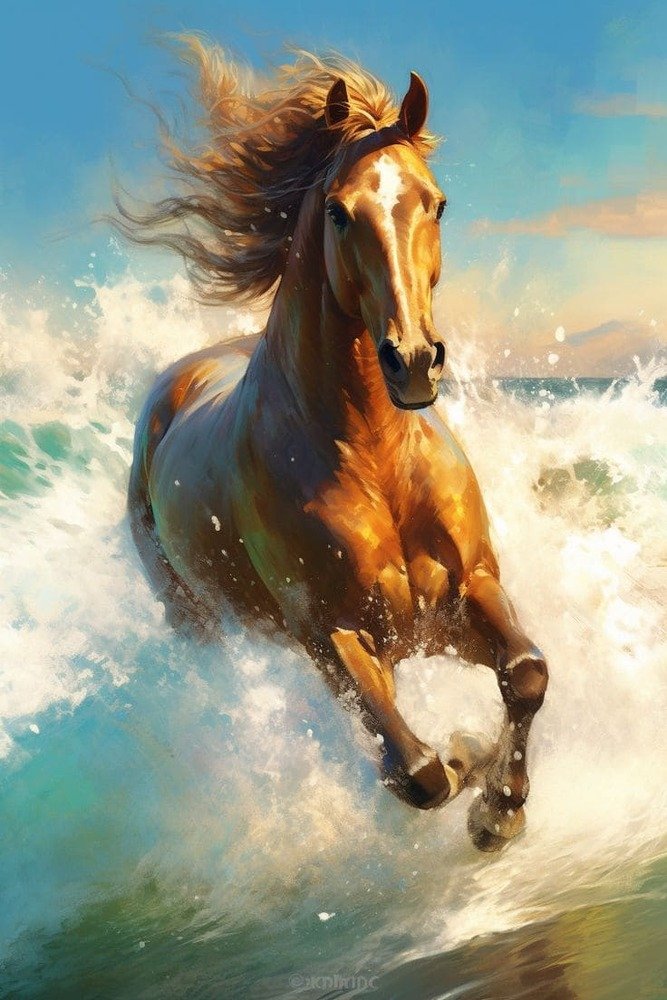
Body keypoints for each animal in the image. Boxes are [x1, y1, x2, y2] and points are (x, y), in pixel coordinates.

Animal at [123, 42, 548, 851]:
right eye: (337, 212)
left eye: (436, 202)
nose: (412, 361)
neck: (375, 455)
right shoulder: (333, 632)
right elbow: (418, 772)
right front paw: (470, 770)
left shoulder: (468, 588)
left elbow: (526, 673)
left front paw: (499, 805)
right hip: (200, 624)